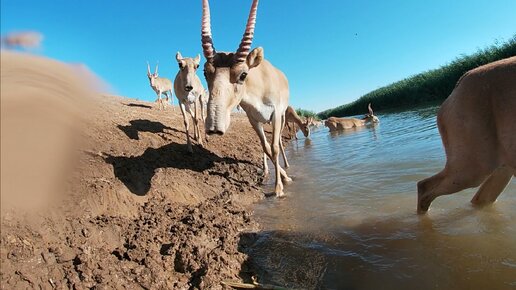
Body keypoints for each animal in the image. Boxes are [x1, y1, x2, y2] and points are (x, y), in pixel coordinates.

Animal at [201, 0, 292, 197]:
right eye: (205, 72)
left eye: (243, 75)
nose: (214, 127)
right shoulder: (253, 119)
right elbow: (265, 147)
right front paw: (279, 178)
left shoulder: (276, 114)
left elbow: (274, 147)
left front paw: (280, 187)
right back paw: (266, 171)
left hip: (281, 117)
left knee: (280, 143)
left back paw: (287, 167)